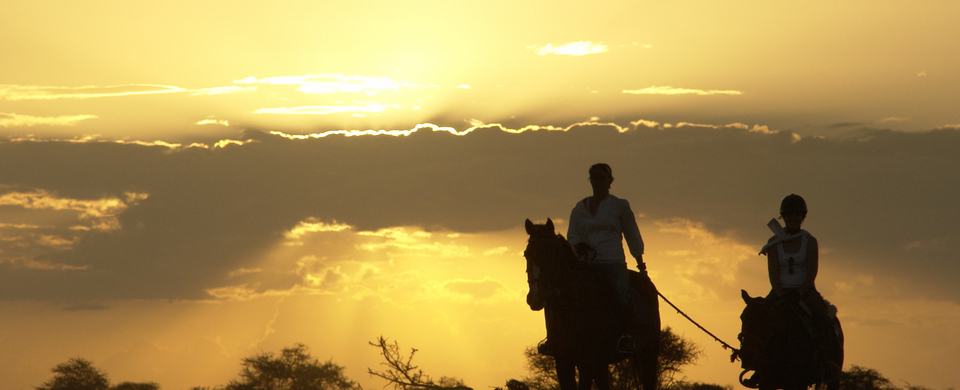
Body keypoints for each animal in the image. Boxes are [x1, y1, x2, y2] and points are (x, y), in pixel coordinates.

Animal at [524, 218, 660, 390]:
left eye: (550, 253)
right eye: (526, 254)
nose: (536, 298)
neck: (572, 307)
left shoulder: (587, 361)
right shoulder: (563, 362)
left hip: (648, 354)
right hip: (602, 364)